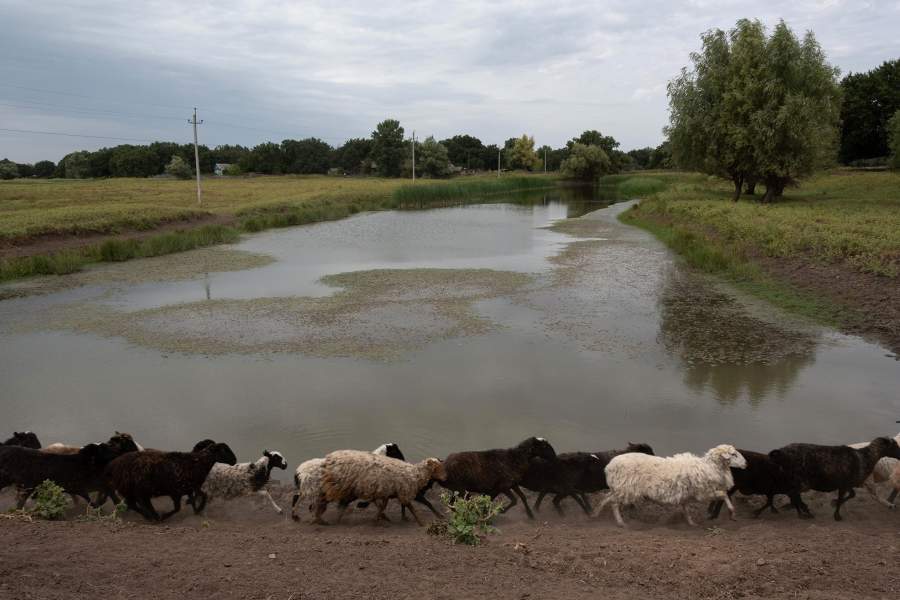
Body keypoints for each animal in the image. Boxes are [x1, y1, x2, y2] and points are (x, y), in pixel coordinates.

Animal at [105, 442, 237, 521]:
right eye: (224, 450)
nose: (234, 460)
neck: (197, 462)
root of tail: (113, 464)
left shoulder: (191, 488)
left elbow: (202, 496)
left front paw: (197, 510)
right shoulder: (176, 492)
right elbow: (177, 508)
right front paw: (164, 516)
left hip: (132, 490)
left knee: (134, 504)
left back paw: (151, 516)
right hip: (135, 489)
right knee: (136, 504)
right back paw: (153, 516)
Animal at [314, 450, 446, 526]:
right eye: (437, 468)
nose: (445, 478)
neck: (415, 474)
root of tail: (329, 459)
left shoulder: (390, 491)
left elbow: (383, 506)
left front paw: (379, 518)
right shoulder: (404, 492)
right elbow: (412, 508)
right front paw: (421, 522)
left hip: (347, 489)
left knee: (336, 502)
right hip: (340, 487)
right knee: (324, 500)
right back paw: (320, 518)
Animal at [595, 445, 747, 527]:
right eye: (733, 454)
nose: (746, 464)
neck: (710, 467)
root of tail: (608, 467)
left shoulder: (687, 495)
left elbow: (685, 509)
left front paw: (691, 523)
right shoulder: (703, 493)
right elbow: (724, 494)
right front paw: (732, 513)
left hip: (619, 488)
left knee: (606, 498)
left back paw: (596, 513)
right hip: (625, 489)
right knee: (613, 503)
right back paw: (620, 522)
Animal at [768, 436, 900, 520]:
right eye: (894, 446)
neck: (865, 457)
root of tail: (781, 452)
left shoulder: (848, 484)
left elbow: (851, 495)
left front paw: (834, 503)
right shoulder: (844, 483)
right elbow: (844, 497)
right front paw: (837, 515)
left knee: (793, 495)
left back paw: (803, 510)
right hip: (801, 480)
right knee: (793, 494)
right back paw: (803, 513)